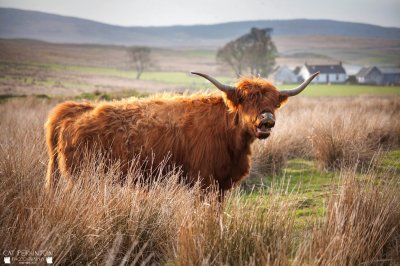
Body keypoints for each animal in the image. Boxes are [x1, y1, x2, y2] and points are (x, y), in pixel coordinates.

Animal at [44, 71, 318, 196]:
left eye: (273, 102)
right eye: (245, 100)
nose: (266, 120)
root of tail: (73, 110)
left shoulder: (221, 184)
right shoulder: (203, 181)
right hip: (83, 179)